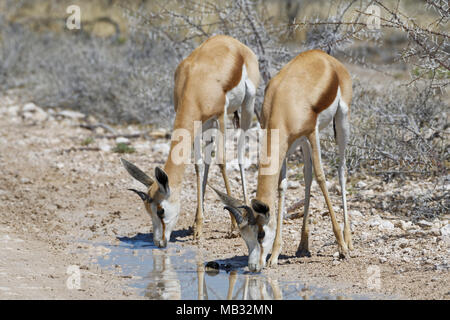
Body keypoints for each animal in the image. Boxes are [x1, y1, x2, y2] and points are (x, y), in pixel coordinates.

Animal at [120, 36, 260, 249]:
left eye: (161, 210)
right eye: (147, 210)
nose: (160, 242)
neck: (196, 84)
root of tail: (233, 42)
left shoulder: (220, 115)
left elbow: (222, 162)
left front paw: (234, 227)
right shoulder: (196, 125)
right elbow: (198, 166)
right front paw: (198, 229)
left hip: (247, 106)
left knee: (240, 155)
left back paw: (244, 212)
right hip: (208, 125)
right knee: (208, 161)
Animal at [213, 48, 354, 272]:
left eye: (261, 234)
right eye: (244, 236)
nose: (254, 266)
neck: (285, 104)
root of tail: (324, 56)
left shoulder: (312, 133)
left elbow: (322, 178)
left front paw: (341, 248)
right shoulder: (286, 147)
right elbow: (282, 187)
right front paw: (275, 255)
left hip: (341, 120)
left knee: (340, 170)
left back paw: (347, 241)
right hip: (302, 143)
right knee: (307, 177)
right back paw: (303, 245)